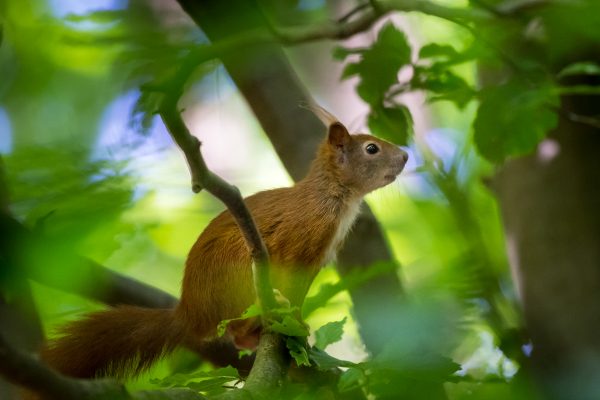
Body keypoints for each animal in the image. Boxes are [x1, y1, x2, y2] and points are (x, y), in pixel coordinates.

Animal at [41, 108, 408, 380]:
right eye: (371, 149)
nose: (405, 156)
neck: (332, 195)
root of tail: (191, 314)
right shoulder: (299, 243)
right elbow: (290, 288)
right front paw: (294, 322)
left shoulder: (316, 260)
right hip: (238, 269)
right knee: (236, 325)